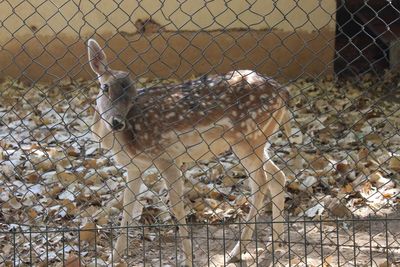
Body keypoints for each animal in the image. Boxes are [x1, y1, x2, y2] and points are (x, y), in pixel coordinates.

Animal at [87, 38, 290, 266]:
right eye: (105, 87)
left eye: (132, 98)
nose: (117, 122)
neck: (122, 142)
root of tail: (283, 92)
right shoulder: (135, 166)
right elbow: (127, 208)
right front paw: (112, 258)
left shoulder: (164, 157)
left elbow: (176, 206)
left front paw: (189, 259)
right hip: (259, 141)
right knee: (277, 176)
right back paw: (276, 243)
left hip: (248, 138)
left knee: (260, 184)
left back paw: (236, 252)